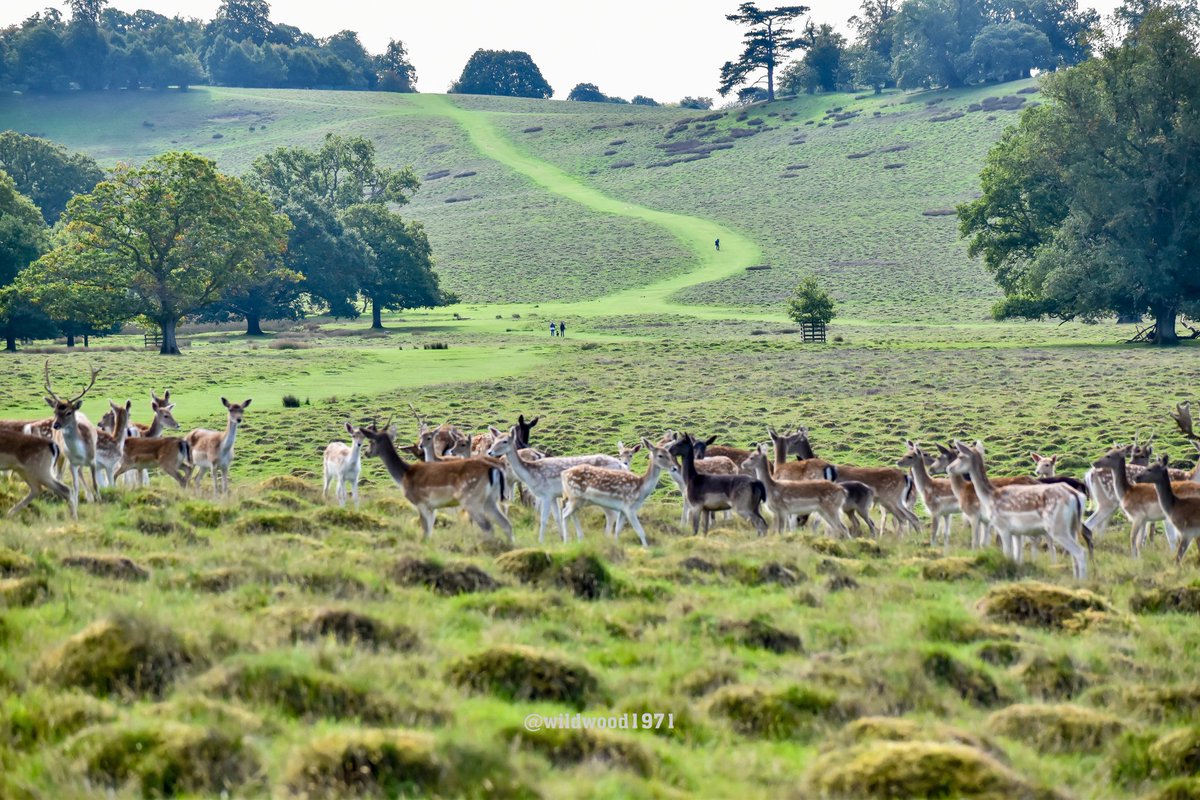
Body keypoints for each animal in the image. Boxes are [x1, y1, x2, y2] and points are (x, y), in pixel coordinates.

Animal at [37, 361, 101, 510]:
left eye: (68, 412)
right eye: (54, 411)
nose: (55, 425)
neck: (80, 452)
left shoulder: (93, 460)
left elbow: (96, 484)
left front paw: (100, 501)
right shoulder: (72, 462)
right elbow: (75, 486)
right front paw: (75, 504)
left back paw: (90, 497)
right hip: (61, 454)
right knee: (59, 474)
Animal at [360, 420, 510, 541]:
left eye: (371, 441)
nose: (366, 452)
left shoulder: (422, 503)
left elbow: (426, 531)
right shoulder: (432, 506)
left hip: (473, 499)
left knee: (489, 525)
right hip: (490, 499)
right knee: (504, 520)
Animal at [487, 427, 627, 542]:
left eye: (505, 441)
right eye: (495, 440)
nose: (490, 452)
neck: (531, 474)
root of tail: (621, 466)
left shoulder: (546, 494)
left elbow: (544, 518)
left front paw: (541, 541)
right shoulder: (554, 496)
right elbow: (557, 517)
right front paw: (561, 538)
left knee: (613, 514)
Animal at [946, 441, 1090, 579]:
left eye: (960, 456)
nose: (949, 468)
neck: (990, 496)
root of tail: (1078, 494)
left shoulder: (1003, 527)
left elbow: (1006, 551)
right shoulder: (1017, 532)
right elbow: (1017, 554)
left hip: (1057, 527)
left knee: (1079, 550)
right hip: (1070, 527)